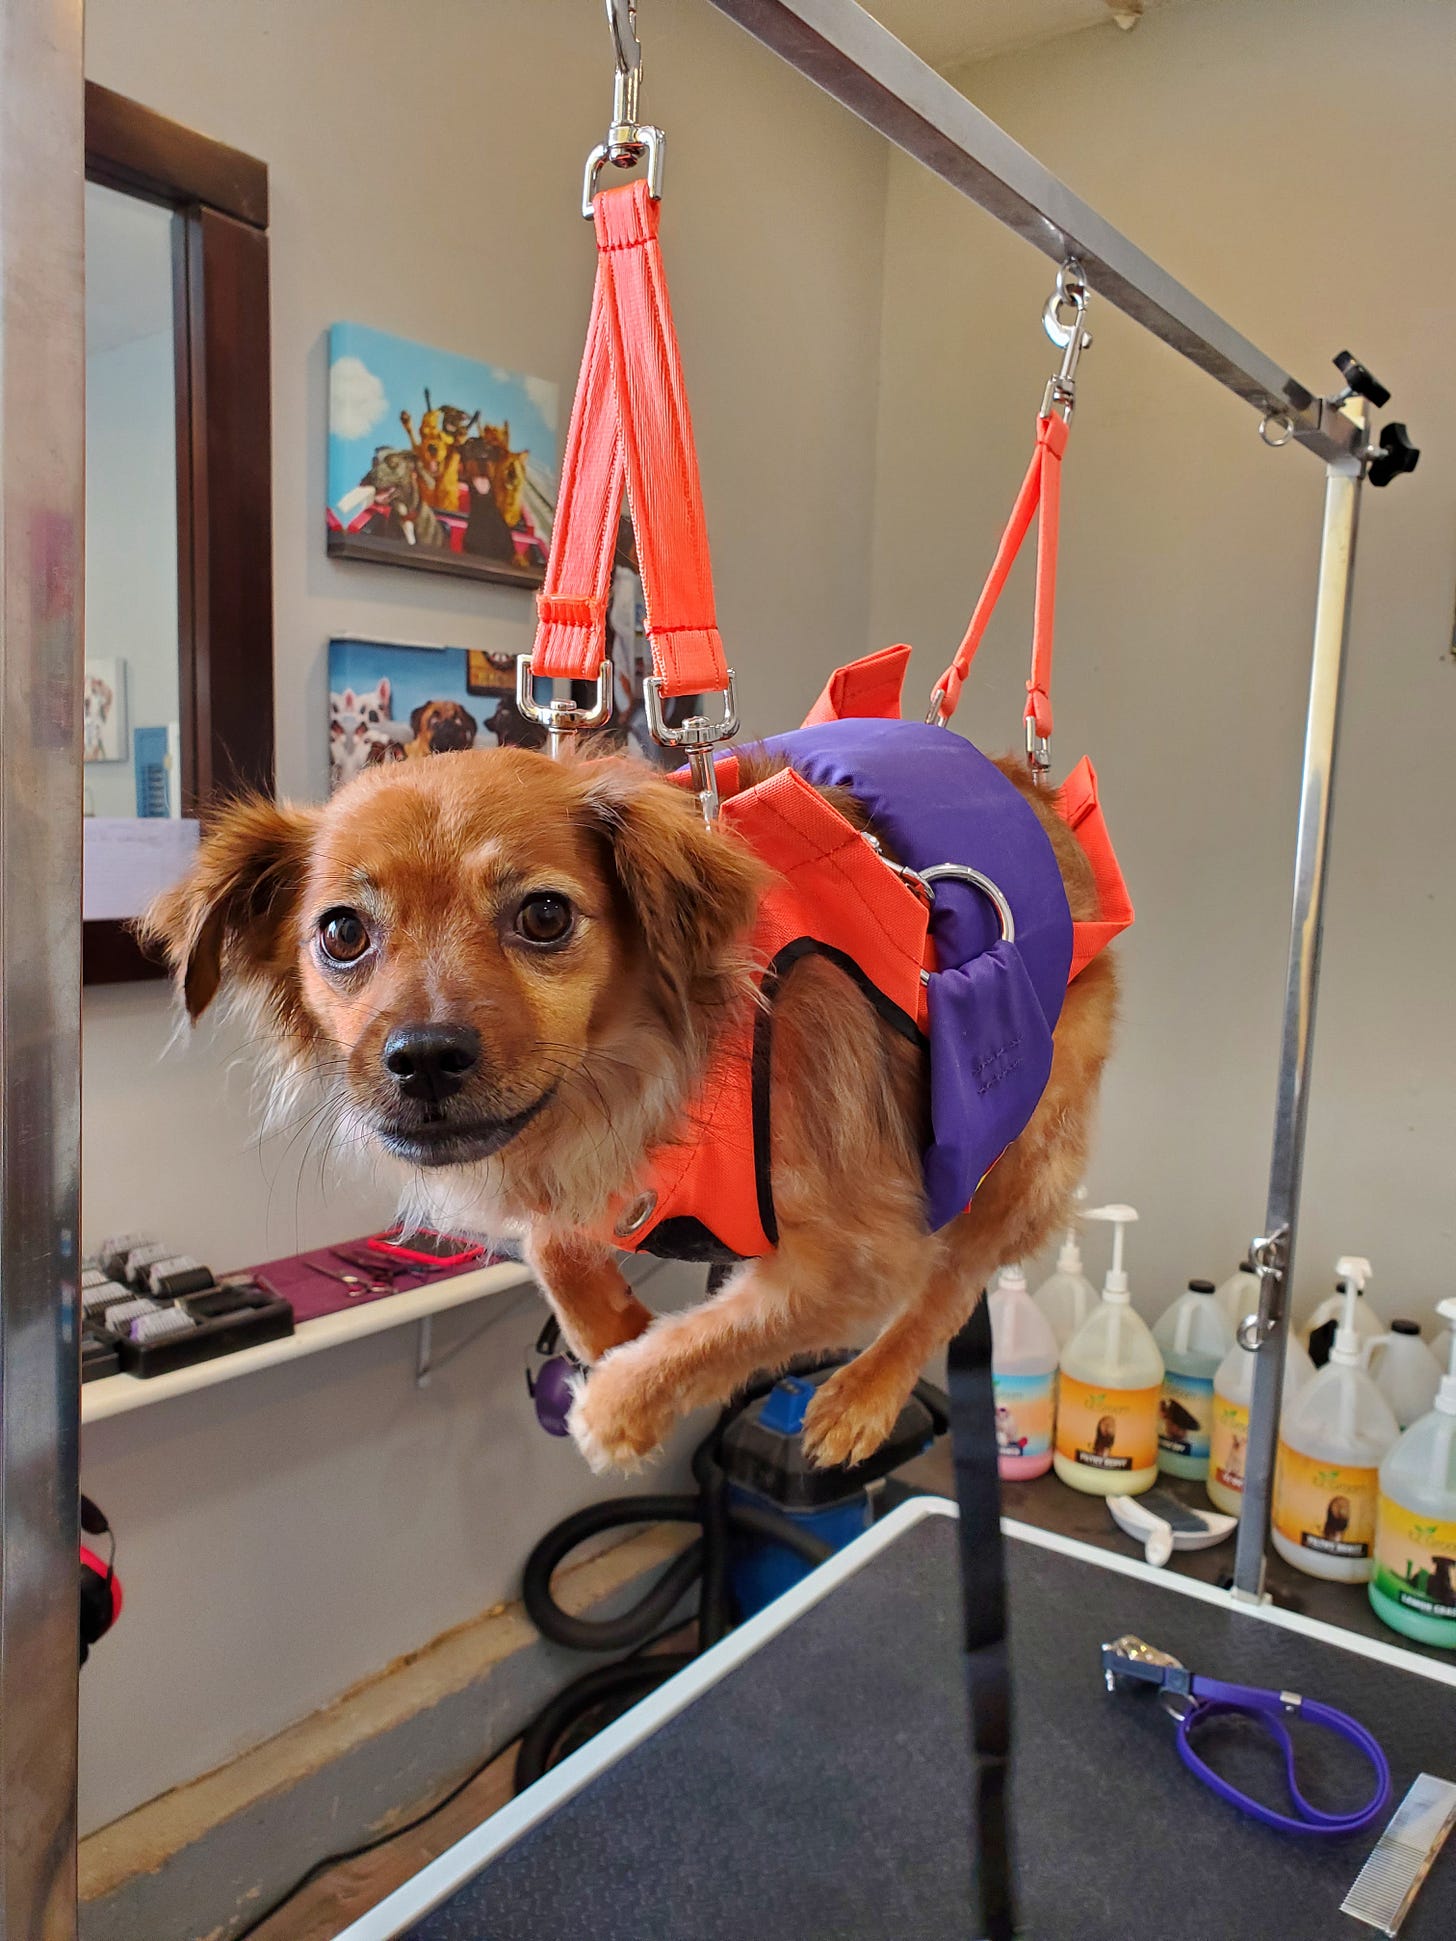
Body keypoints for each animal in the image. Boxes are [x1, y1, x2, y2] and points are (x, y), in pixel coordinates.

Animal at [142, 741, 1118, 1467]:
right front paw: (614, 1327)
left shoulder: (865, 1252)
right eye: (342, 932)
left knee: (957, 1280)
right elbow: (555, 1243)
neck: (642, 1073)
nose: (421, 1060)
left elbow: (725, 1332)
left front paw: (615, 1407)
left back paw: (862, 1395)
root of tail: (1026, 781)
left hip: (1022, 1147)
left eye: (543, 916)